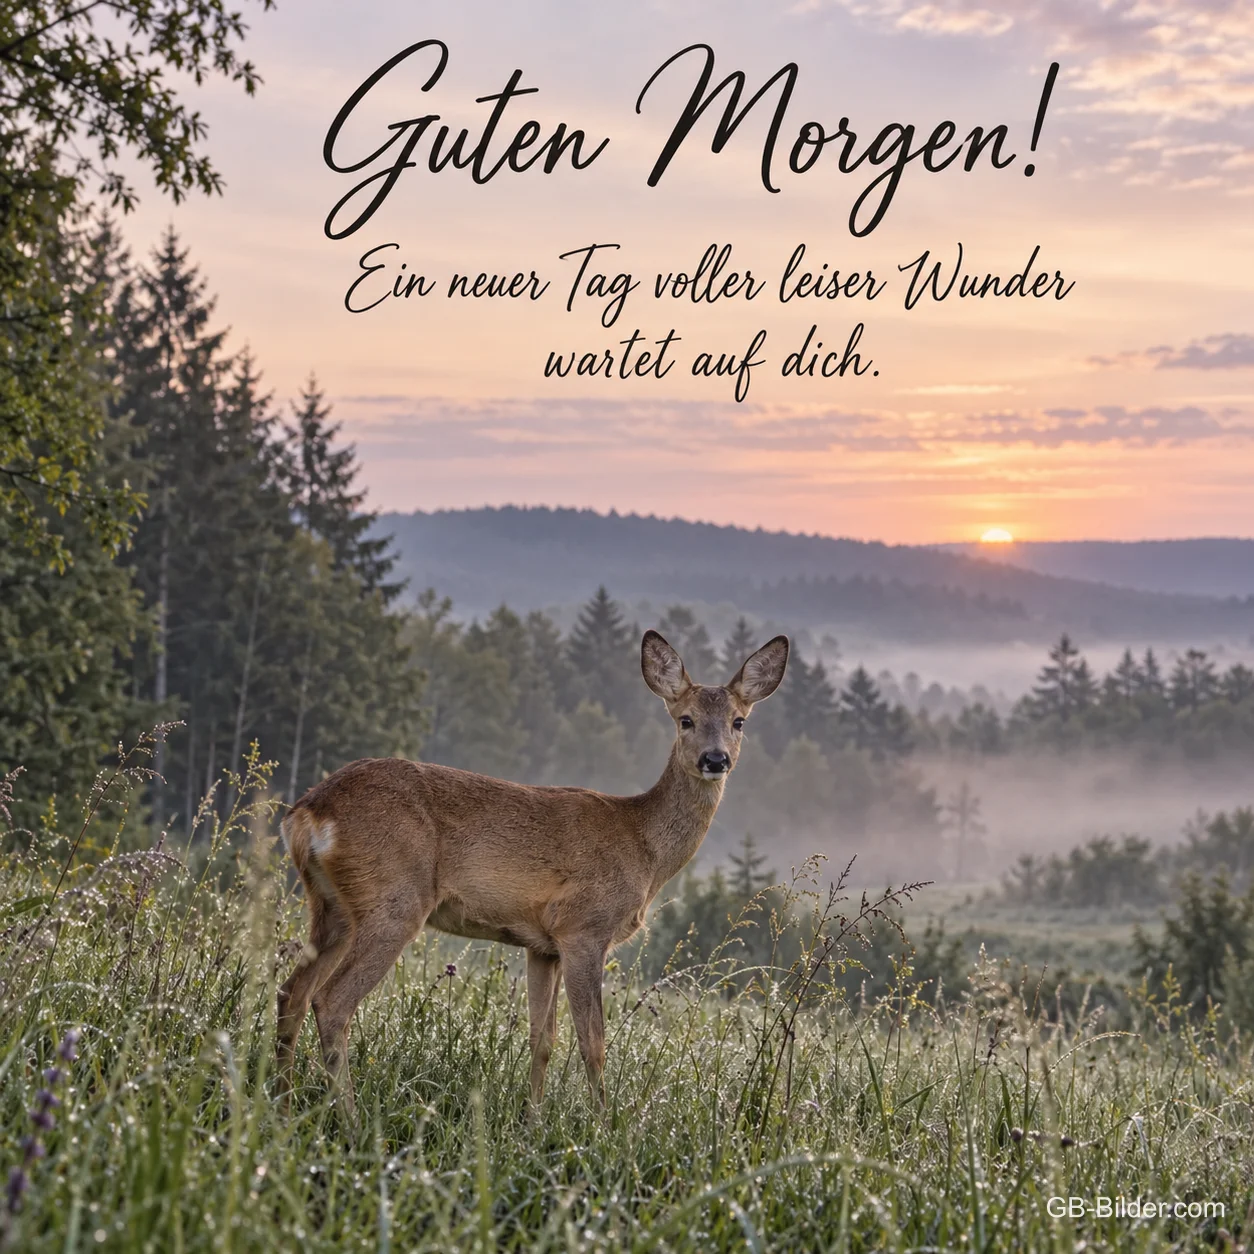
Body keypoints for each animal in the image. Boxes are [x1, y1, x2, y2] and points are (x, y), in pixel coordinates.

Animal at [275, 628, 788, 1119]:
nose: (715, 759)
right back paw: (350, 1120)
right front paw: (604, 1128)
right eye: (685, 719)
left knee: (291, 992)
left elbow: (542, 1039)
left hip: (332, 906)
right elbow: (592, 1043)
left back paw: (281, 1101)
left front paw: (533, 1123)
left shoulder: (543, 945)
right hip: (394, 899)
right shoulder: (584, 928)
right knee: (331, 1001)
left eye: (739, 721)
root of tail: (309, 811)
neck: (642, 847)